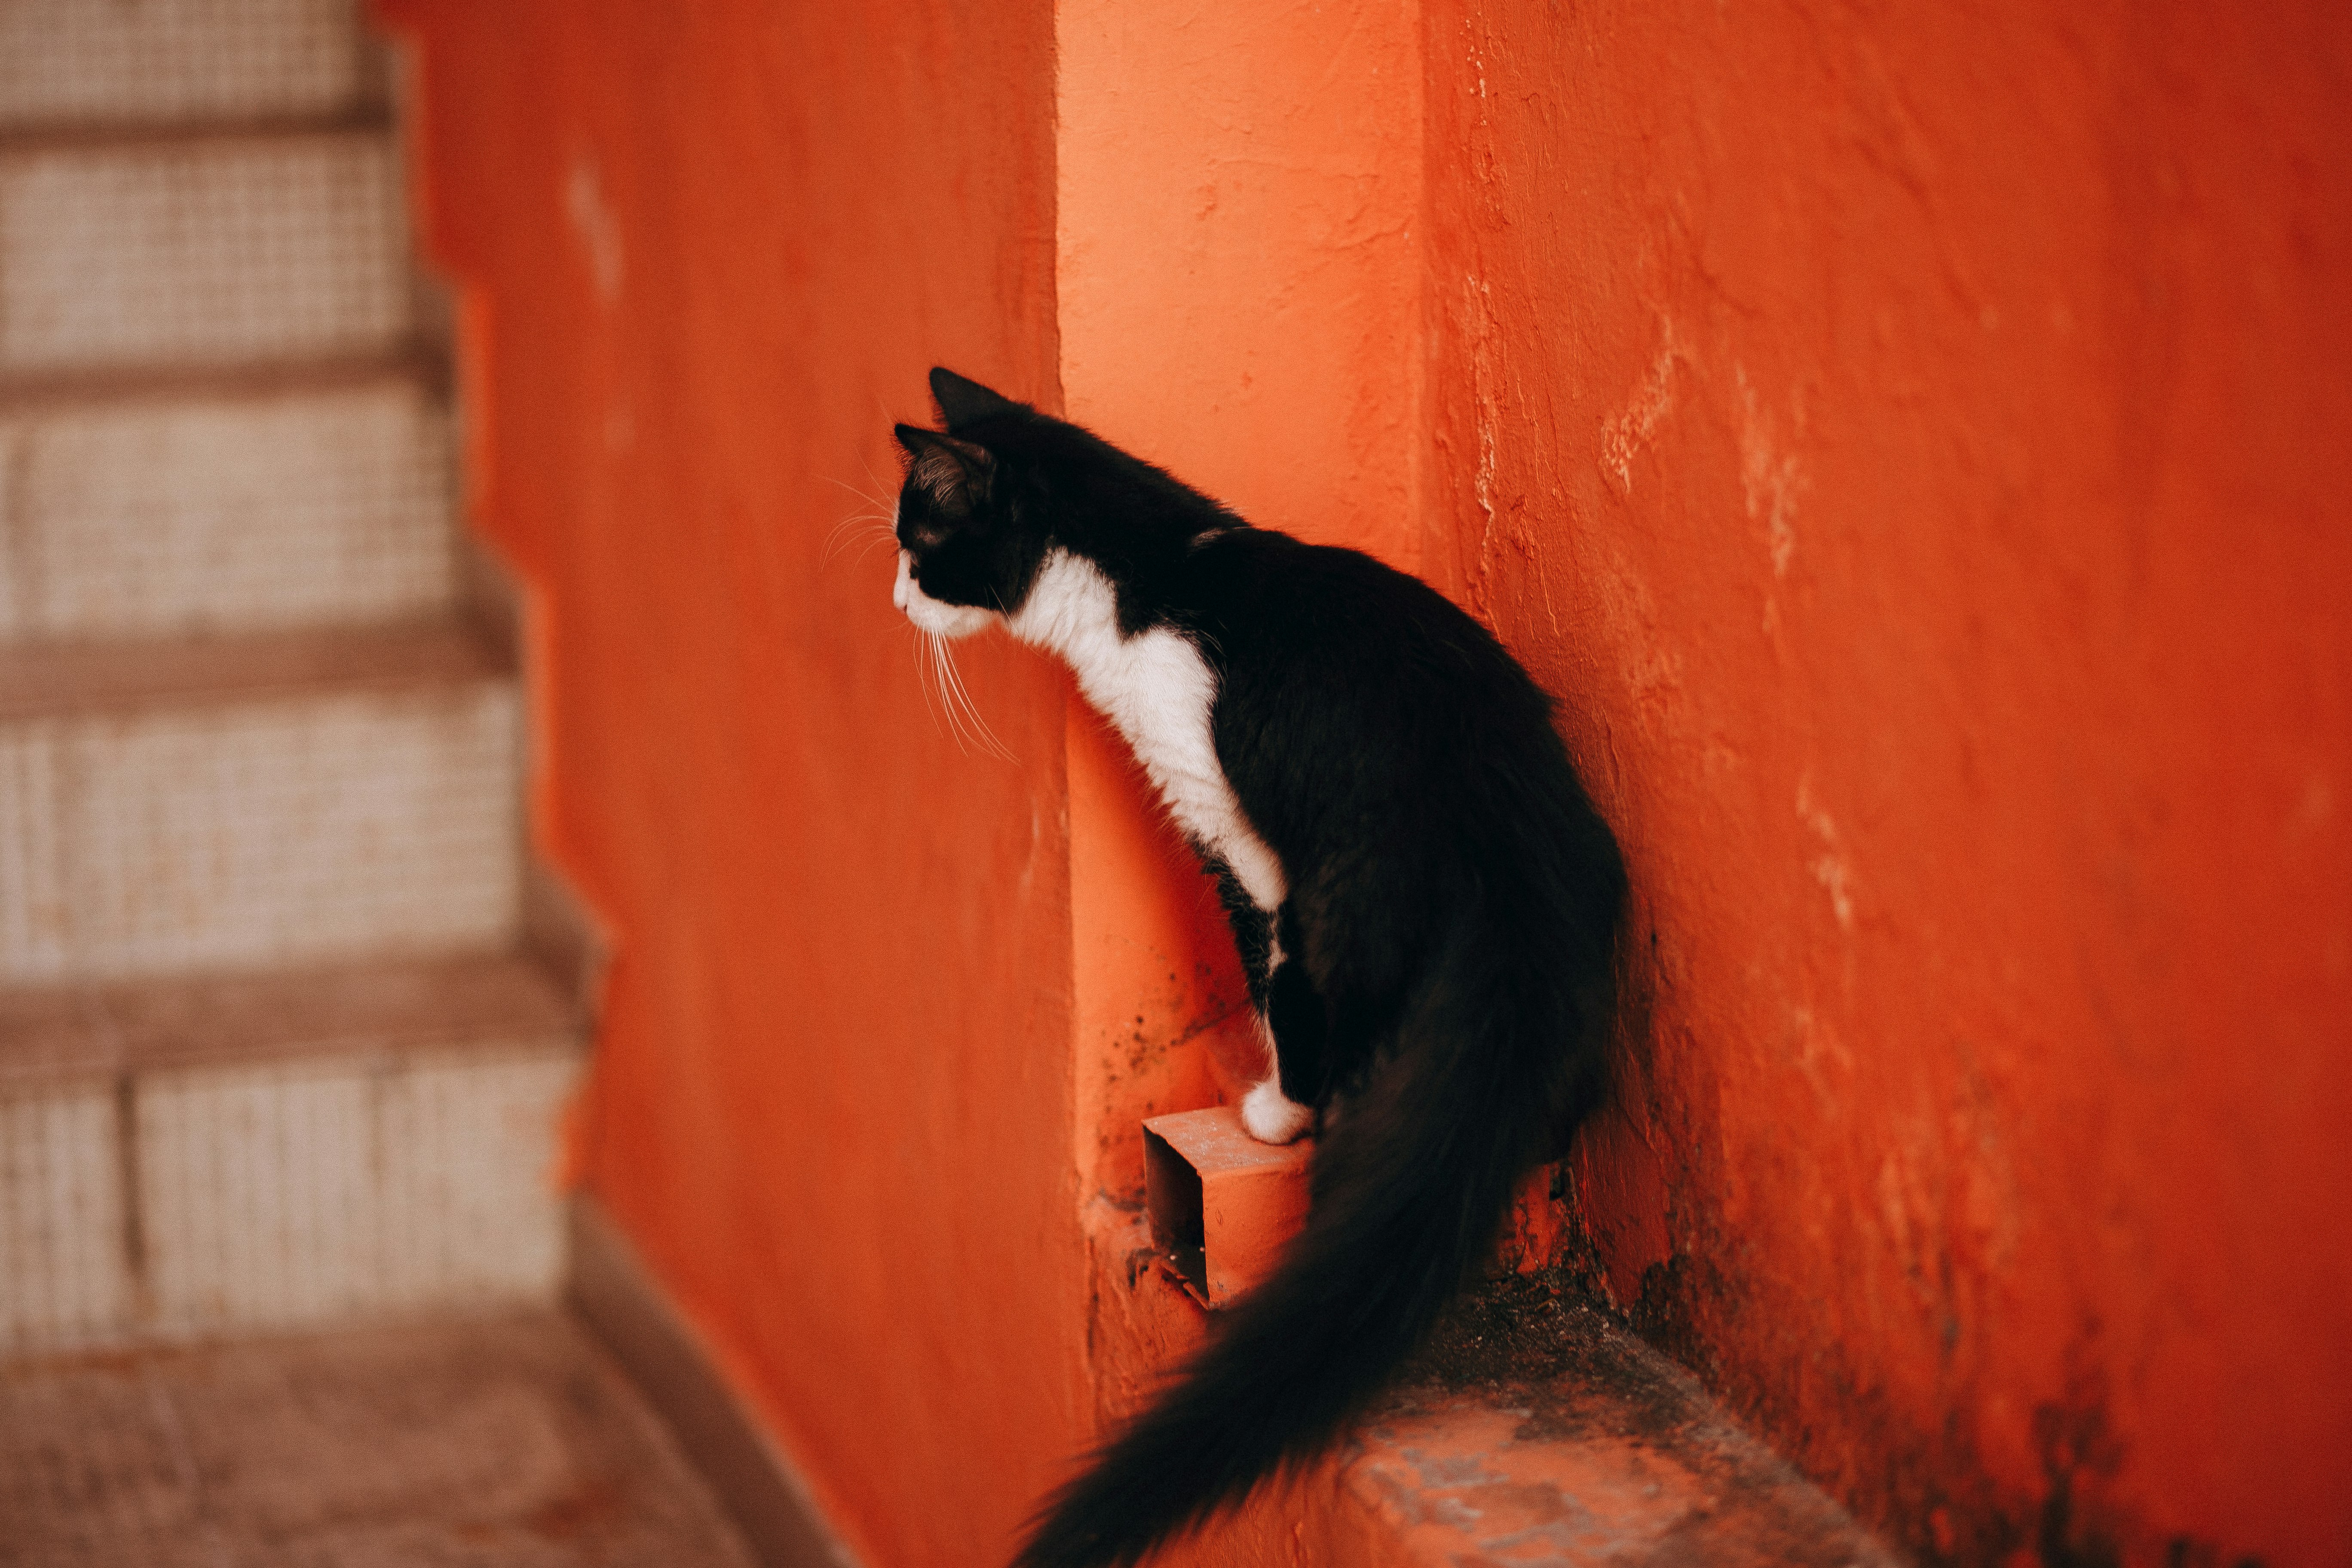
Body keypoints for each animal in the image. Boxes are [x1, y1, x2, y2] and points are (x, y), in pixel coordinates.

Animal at [889, 371, 1627, 1568]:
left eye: (918, 544)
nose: (899, 599)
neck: (1153, 573)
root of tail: (1498, 825)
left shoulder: (1232, 826)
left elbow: (1267, 969)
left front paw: (1272, 1110)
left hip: (1348, 889)